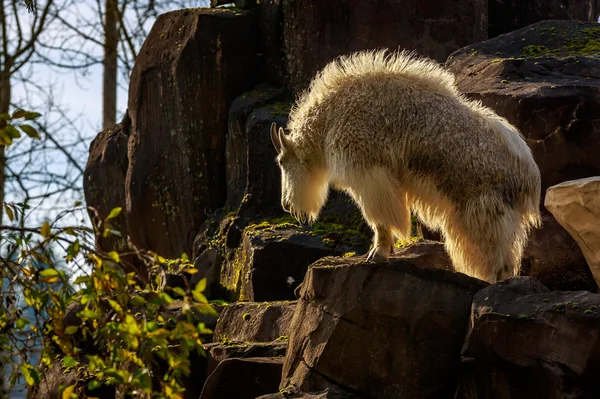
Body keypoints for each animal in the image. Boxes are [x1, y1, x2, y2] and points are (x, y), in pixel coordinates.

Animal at [270, 50, 540, 282]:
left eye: (282, 161)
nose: (286, 204)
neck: (329, 117)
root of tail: (529, 174)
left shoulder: (368, 171)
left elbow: (379, 218)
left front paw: (377, 254)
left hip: (484, 208)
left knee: (497, 254)